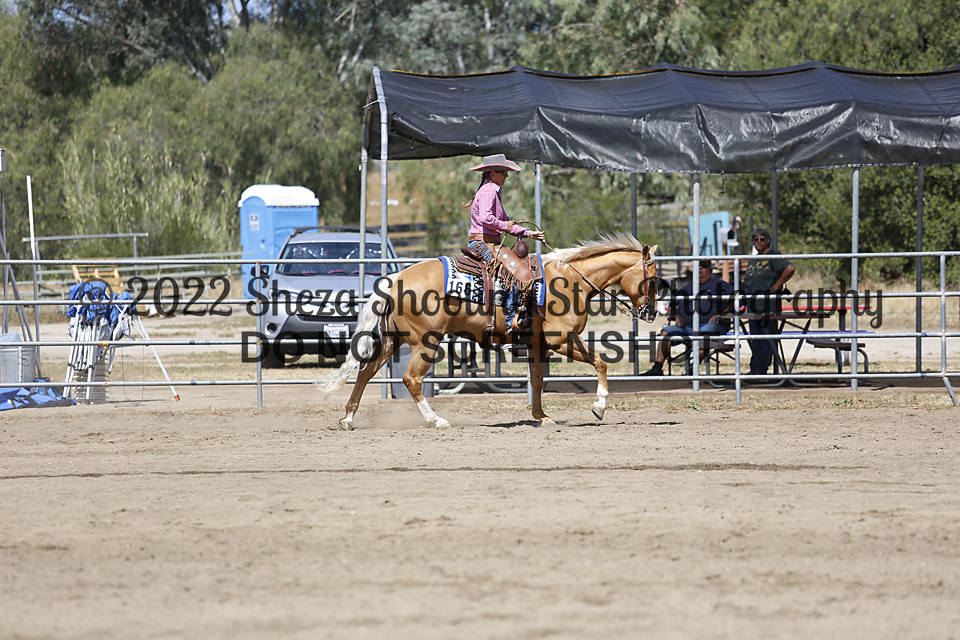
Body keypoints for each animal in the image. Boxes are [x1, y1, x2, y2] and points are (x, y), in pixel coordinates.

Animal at [318, 234, 658, 429]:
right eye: (653, 280)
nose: (652, 313)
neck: (569, 280)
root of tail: (396, 278)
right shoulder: (561, 340)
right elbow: (600, 362)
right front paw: (598, 407)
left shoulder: (540, 344)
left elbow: (538, 379)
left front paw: (542, 417)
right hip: (425, 342)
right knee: (411, 379)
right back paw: (436, 421)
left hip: (393, 339)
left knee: (366, 371)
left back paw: (348, 419)